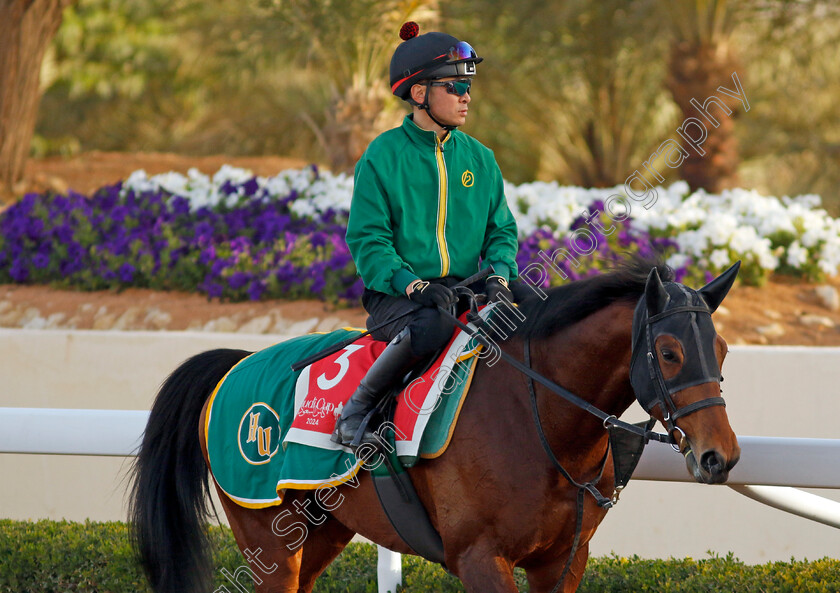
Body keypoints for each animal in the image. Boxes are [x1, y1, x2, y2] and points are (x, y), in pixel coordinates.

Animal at [128, 258, 740, 592]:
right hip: (266, 537)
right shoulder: (480, 559)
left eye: (723, 351)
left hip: (322, 530)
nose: (721, 456)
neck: (539, 421)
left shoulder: (563, 563)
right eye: (668, 353)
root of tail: (235, 362)